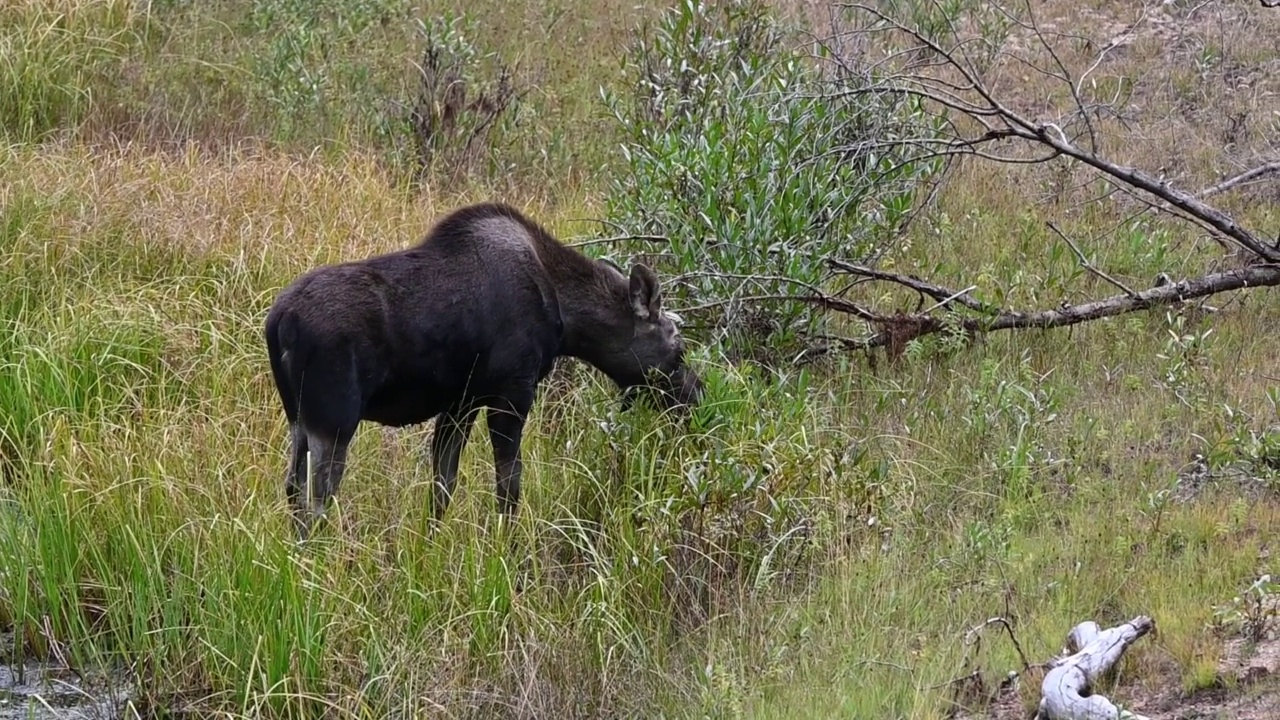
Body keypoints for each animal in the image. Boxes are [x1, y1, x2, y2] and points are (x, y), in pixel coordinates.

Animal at [259, 198, 701, 535]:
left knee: (292, 488)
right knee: (316, 499)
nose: (696, 394)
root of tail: (277, 323)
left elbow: (443, 486)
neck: (566, 317)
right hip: (334, 420)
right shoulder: (512, 393)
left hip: (299, 418)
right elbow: (509, 486)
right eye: (677, 346)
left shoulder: (461, 402)